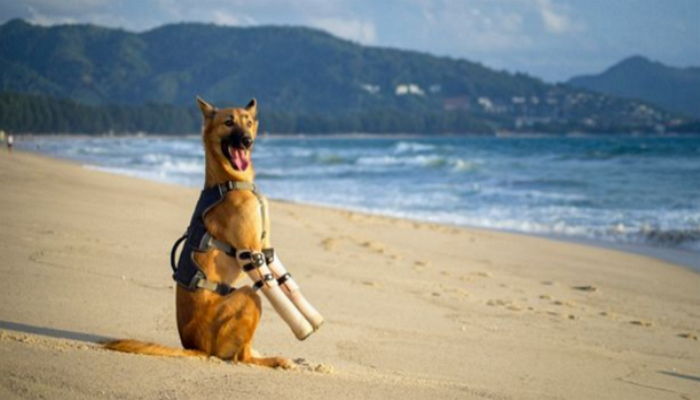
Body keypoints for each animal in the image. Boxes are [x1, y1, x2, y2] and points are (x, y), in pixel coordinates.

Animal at [102, 97, 292, 368]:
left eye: (248, 122)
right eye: (228, 122)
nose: (247, 141)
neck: (230, 181)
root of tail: (194, 346)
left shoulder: (263, 247)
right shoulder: (252, 250)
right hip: (249, 296)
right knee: (241, 356)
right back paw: (273, 360)